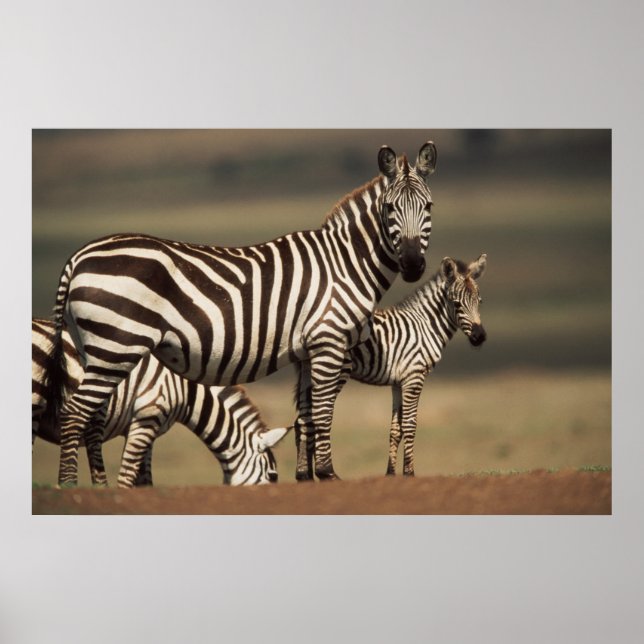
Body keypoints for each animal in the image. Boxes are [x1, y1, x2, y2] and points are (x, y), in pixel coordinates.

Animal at [33, 318, 290, 487]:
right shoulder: (147, 416)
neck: (185, 389)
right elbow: (127, 477)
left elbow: (145, 480)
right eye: (273, 476)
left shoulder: (145, 427)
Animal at [294, 254, 487, 478]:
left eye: (479, 301)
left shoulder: (398, 382)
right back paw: (319, 473)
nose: (479, 337)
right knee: (317, 416)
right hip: (334, 369)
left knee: (303, 420)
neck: (425, 325)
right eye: (456, 304)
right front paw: (409, 473)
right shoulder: (414, 376)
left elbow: (396, 429)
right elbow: (410, 425)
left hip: (307, 372)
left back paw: (304, 476)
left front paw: (390, 474)